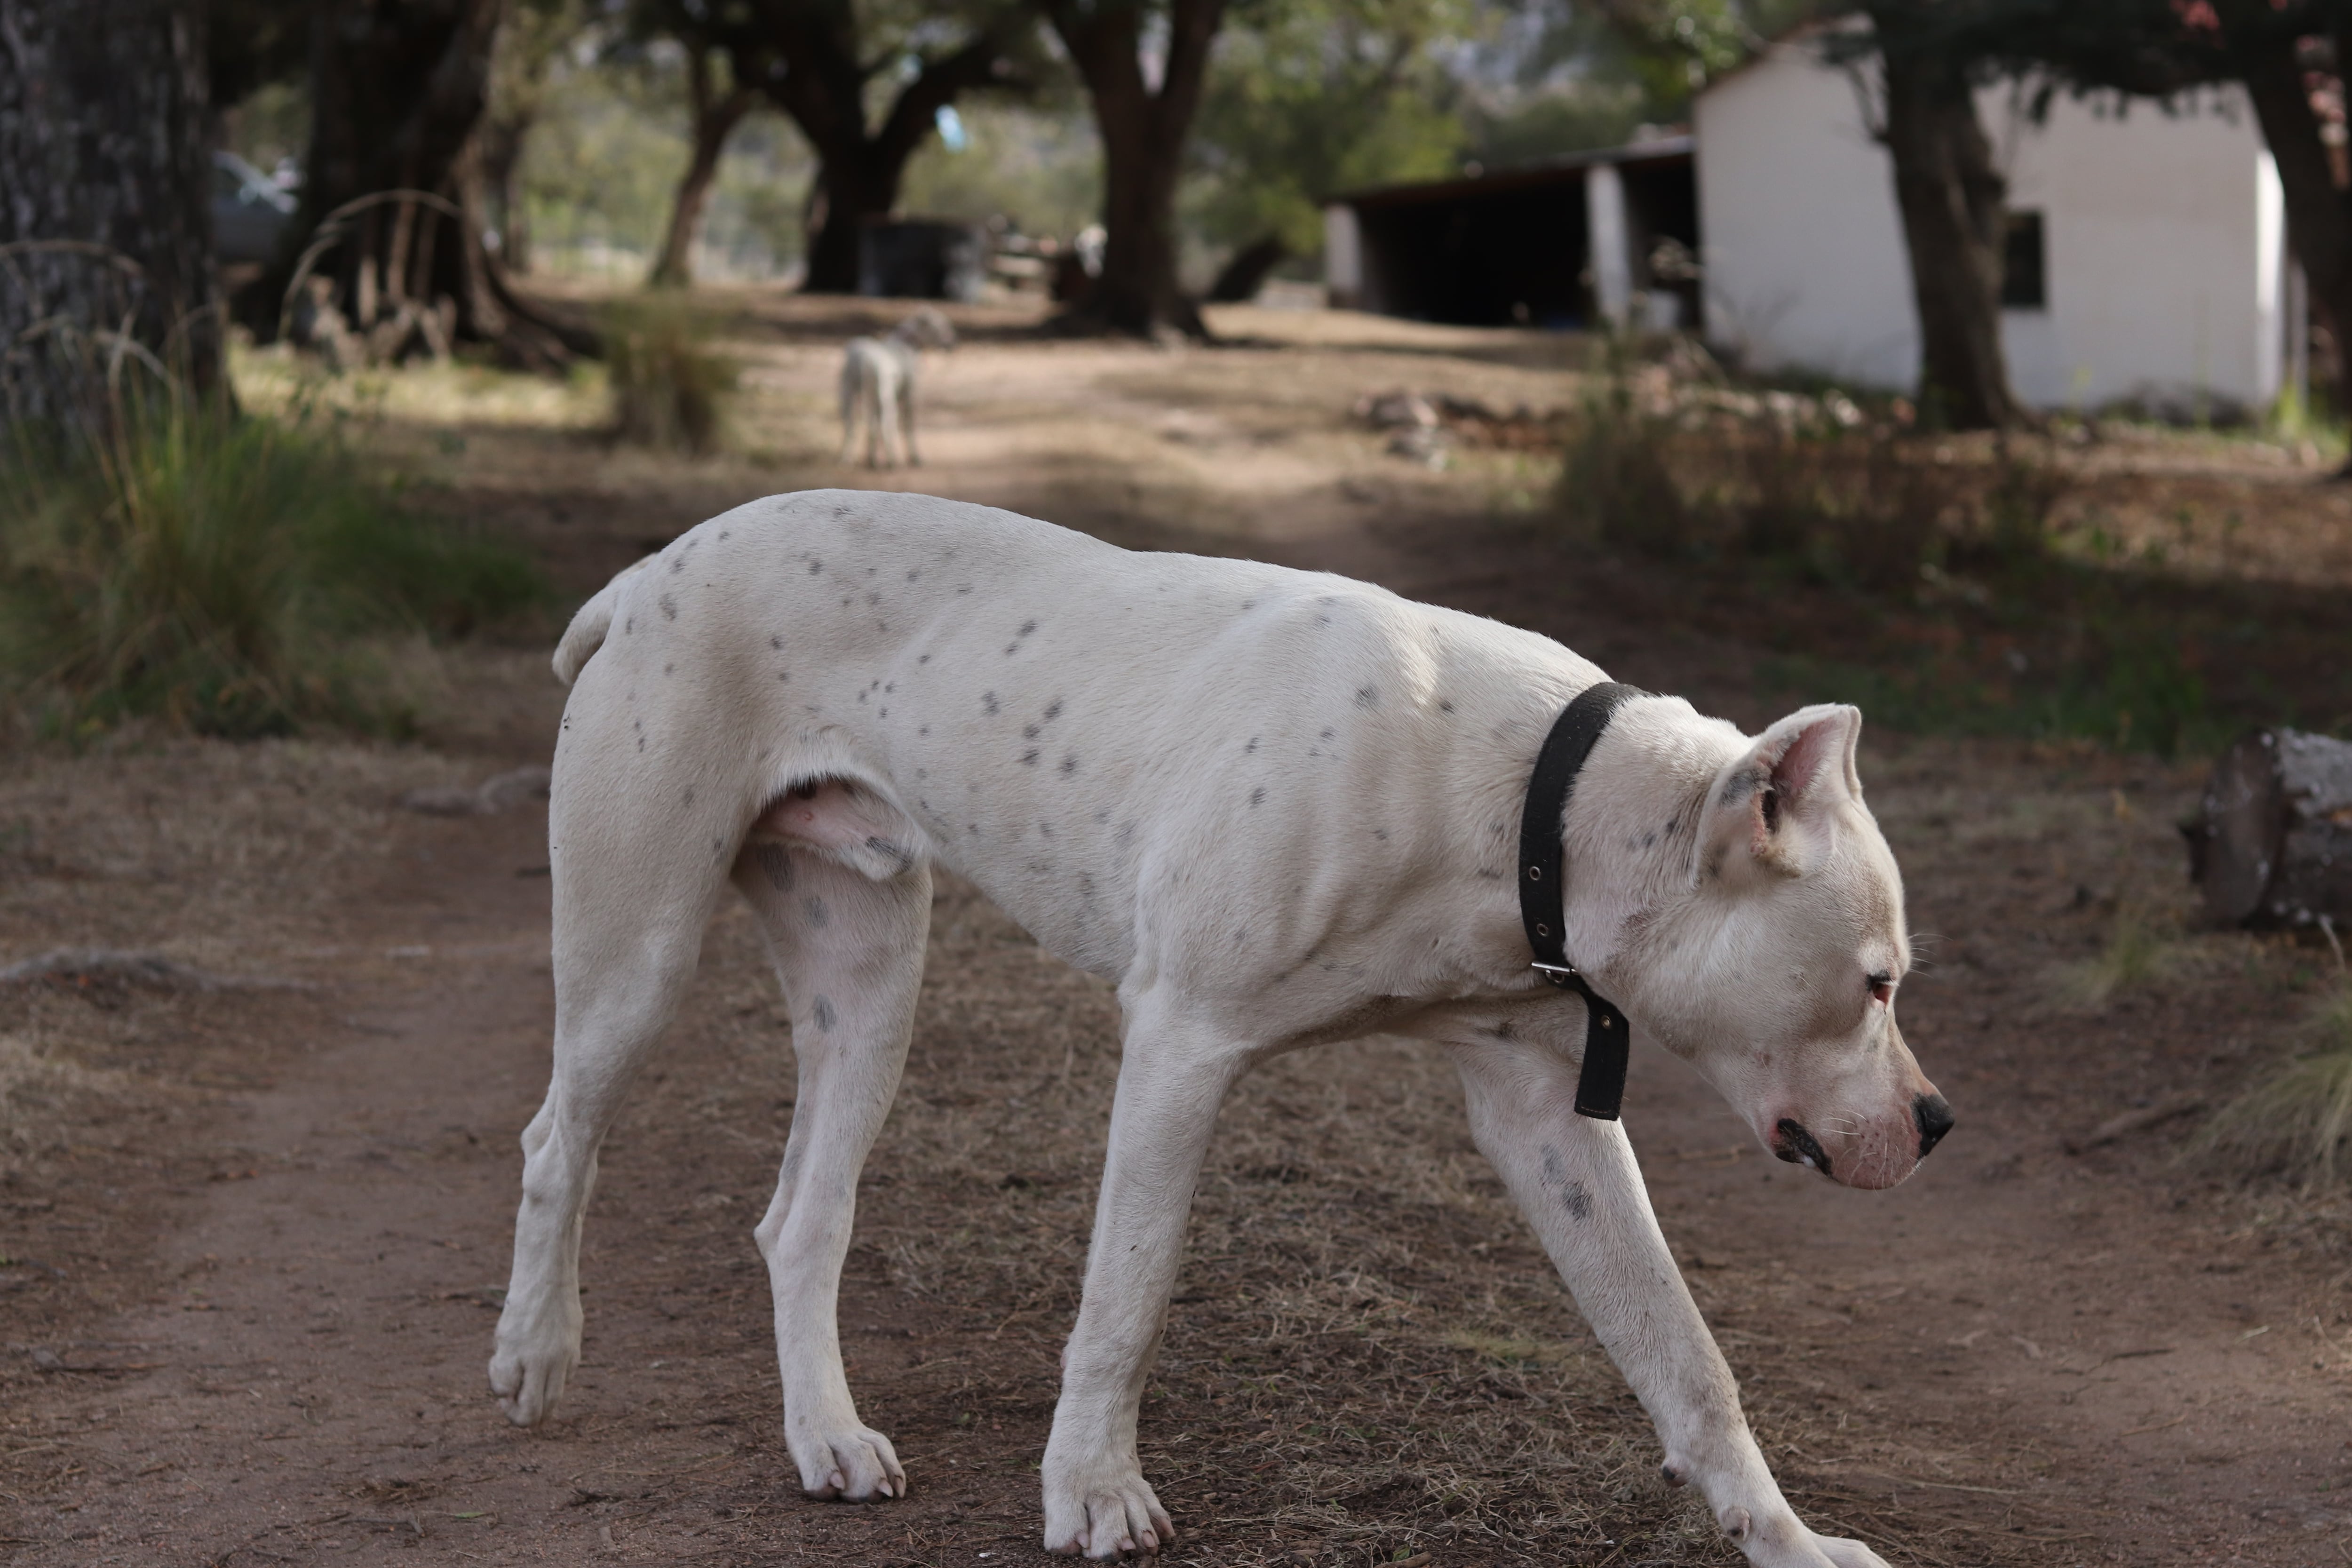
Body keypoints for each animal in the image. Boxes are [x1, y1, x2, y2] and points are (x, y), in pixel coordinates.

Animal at [496, 491, 1947, 1568]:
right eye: (1877, 982)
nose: (1938, 1123)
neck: (1541, 801)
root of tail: (650, 569)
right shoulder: (1179, 1048)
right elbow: (1127, 1296)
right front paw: (1093, 1492)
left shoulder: (1547, 1117)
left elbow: (1681, 1349)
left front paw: (1785, 1538)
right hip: (638, 952)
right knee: (557, 1139)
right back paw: (535, 1348)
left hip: (867, 983)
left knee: (801, 1215)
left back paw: (829, 1440)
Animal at [847, 305, 955, 465]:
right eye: (940, 326)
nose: (953, 344)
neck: (907, 344)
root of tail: (865, 361)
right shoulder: (910, 396)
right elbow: (909, 425)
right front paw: (915, 457)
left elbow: (874, 426)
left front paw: (872, 457)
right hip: (886, 397)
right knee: (886, 424)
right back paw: (892, 460)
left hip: (855, 394)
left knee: (856, 424)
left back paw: (856, 458)